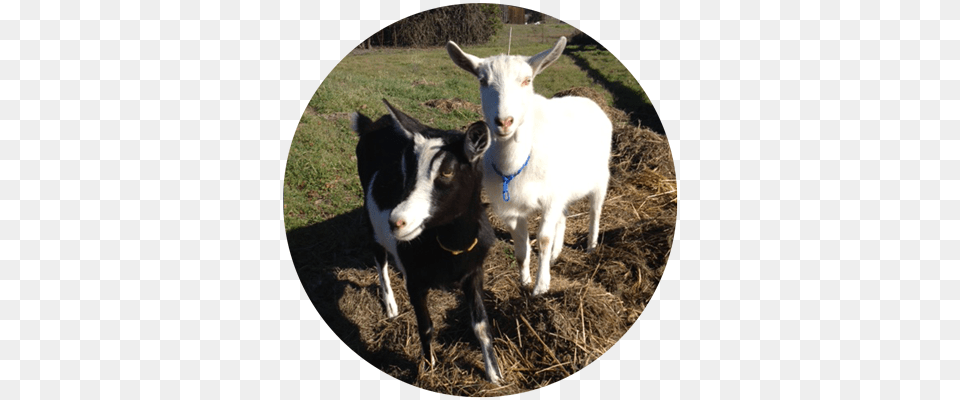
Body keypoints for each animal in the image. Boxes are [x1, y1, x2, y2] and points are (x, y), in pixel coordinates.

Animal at [350, 99, 502, 384]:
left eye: (447, 171)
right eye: (407, 169)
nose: (397, 221)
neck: (450, 247)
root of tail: (372, 124)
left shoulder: (474, 271)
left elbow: (481, 326)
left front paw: (495, 374)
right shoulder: (416, 281)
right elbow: (427, 326)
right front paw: (428, 368)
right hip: (371, 217)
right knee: (379, 257)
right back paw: (391, 306)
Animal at [446, 37, 612, 296]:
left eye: (527, 80)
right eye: (482, 81)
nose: (504, 121)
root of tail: (588, 100)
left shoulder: (551, 198)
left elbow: (542, 240)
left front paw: (541, 287)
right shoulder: (512, 209)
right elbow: (521, 249)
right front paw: (524, 281)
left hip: (600, 177)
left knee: (595, 210)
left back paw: (591, 246)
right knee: (563, 218)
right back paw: (556, 255)